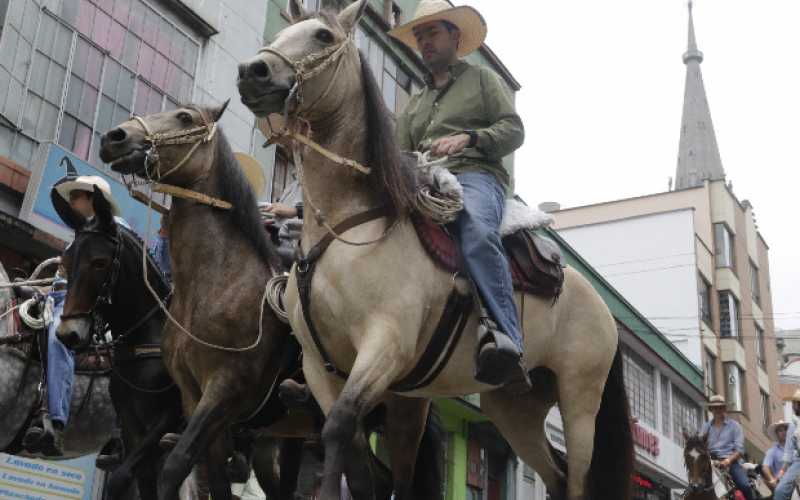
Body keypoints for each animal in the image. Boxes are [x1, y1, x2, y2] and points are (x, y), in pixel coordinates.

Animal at [100, 102, 444, 500]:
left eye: (185, 117)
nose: (114, 138)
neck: (215, 283)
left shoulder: (225, 389)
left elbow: (174, 467)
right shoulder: (192, 397)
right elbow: (210, 479)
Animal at [234, 0, 636, 500]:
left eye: (323, 36)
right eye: (284, 33)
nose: (253, 72)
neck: (351, 228)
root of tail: (598, 305)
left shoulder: (385, 347)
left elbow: (337, 429)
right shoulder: (319, 366)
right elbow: (354, 459)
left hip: (580, 400)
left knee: (578, 478)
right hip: (515, 405)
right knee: (557, 477)